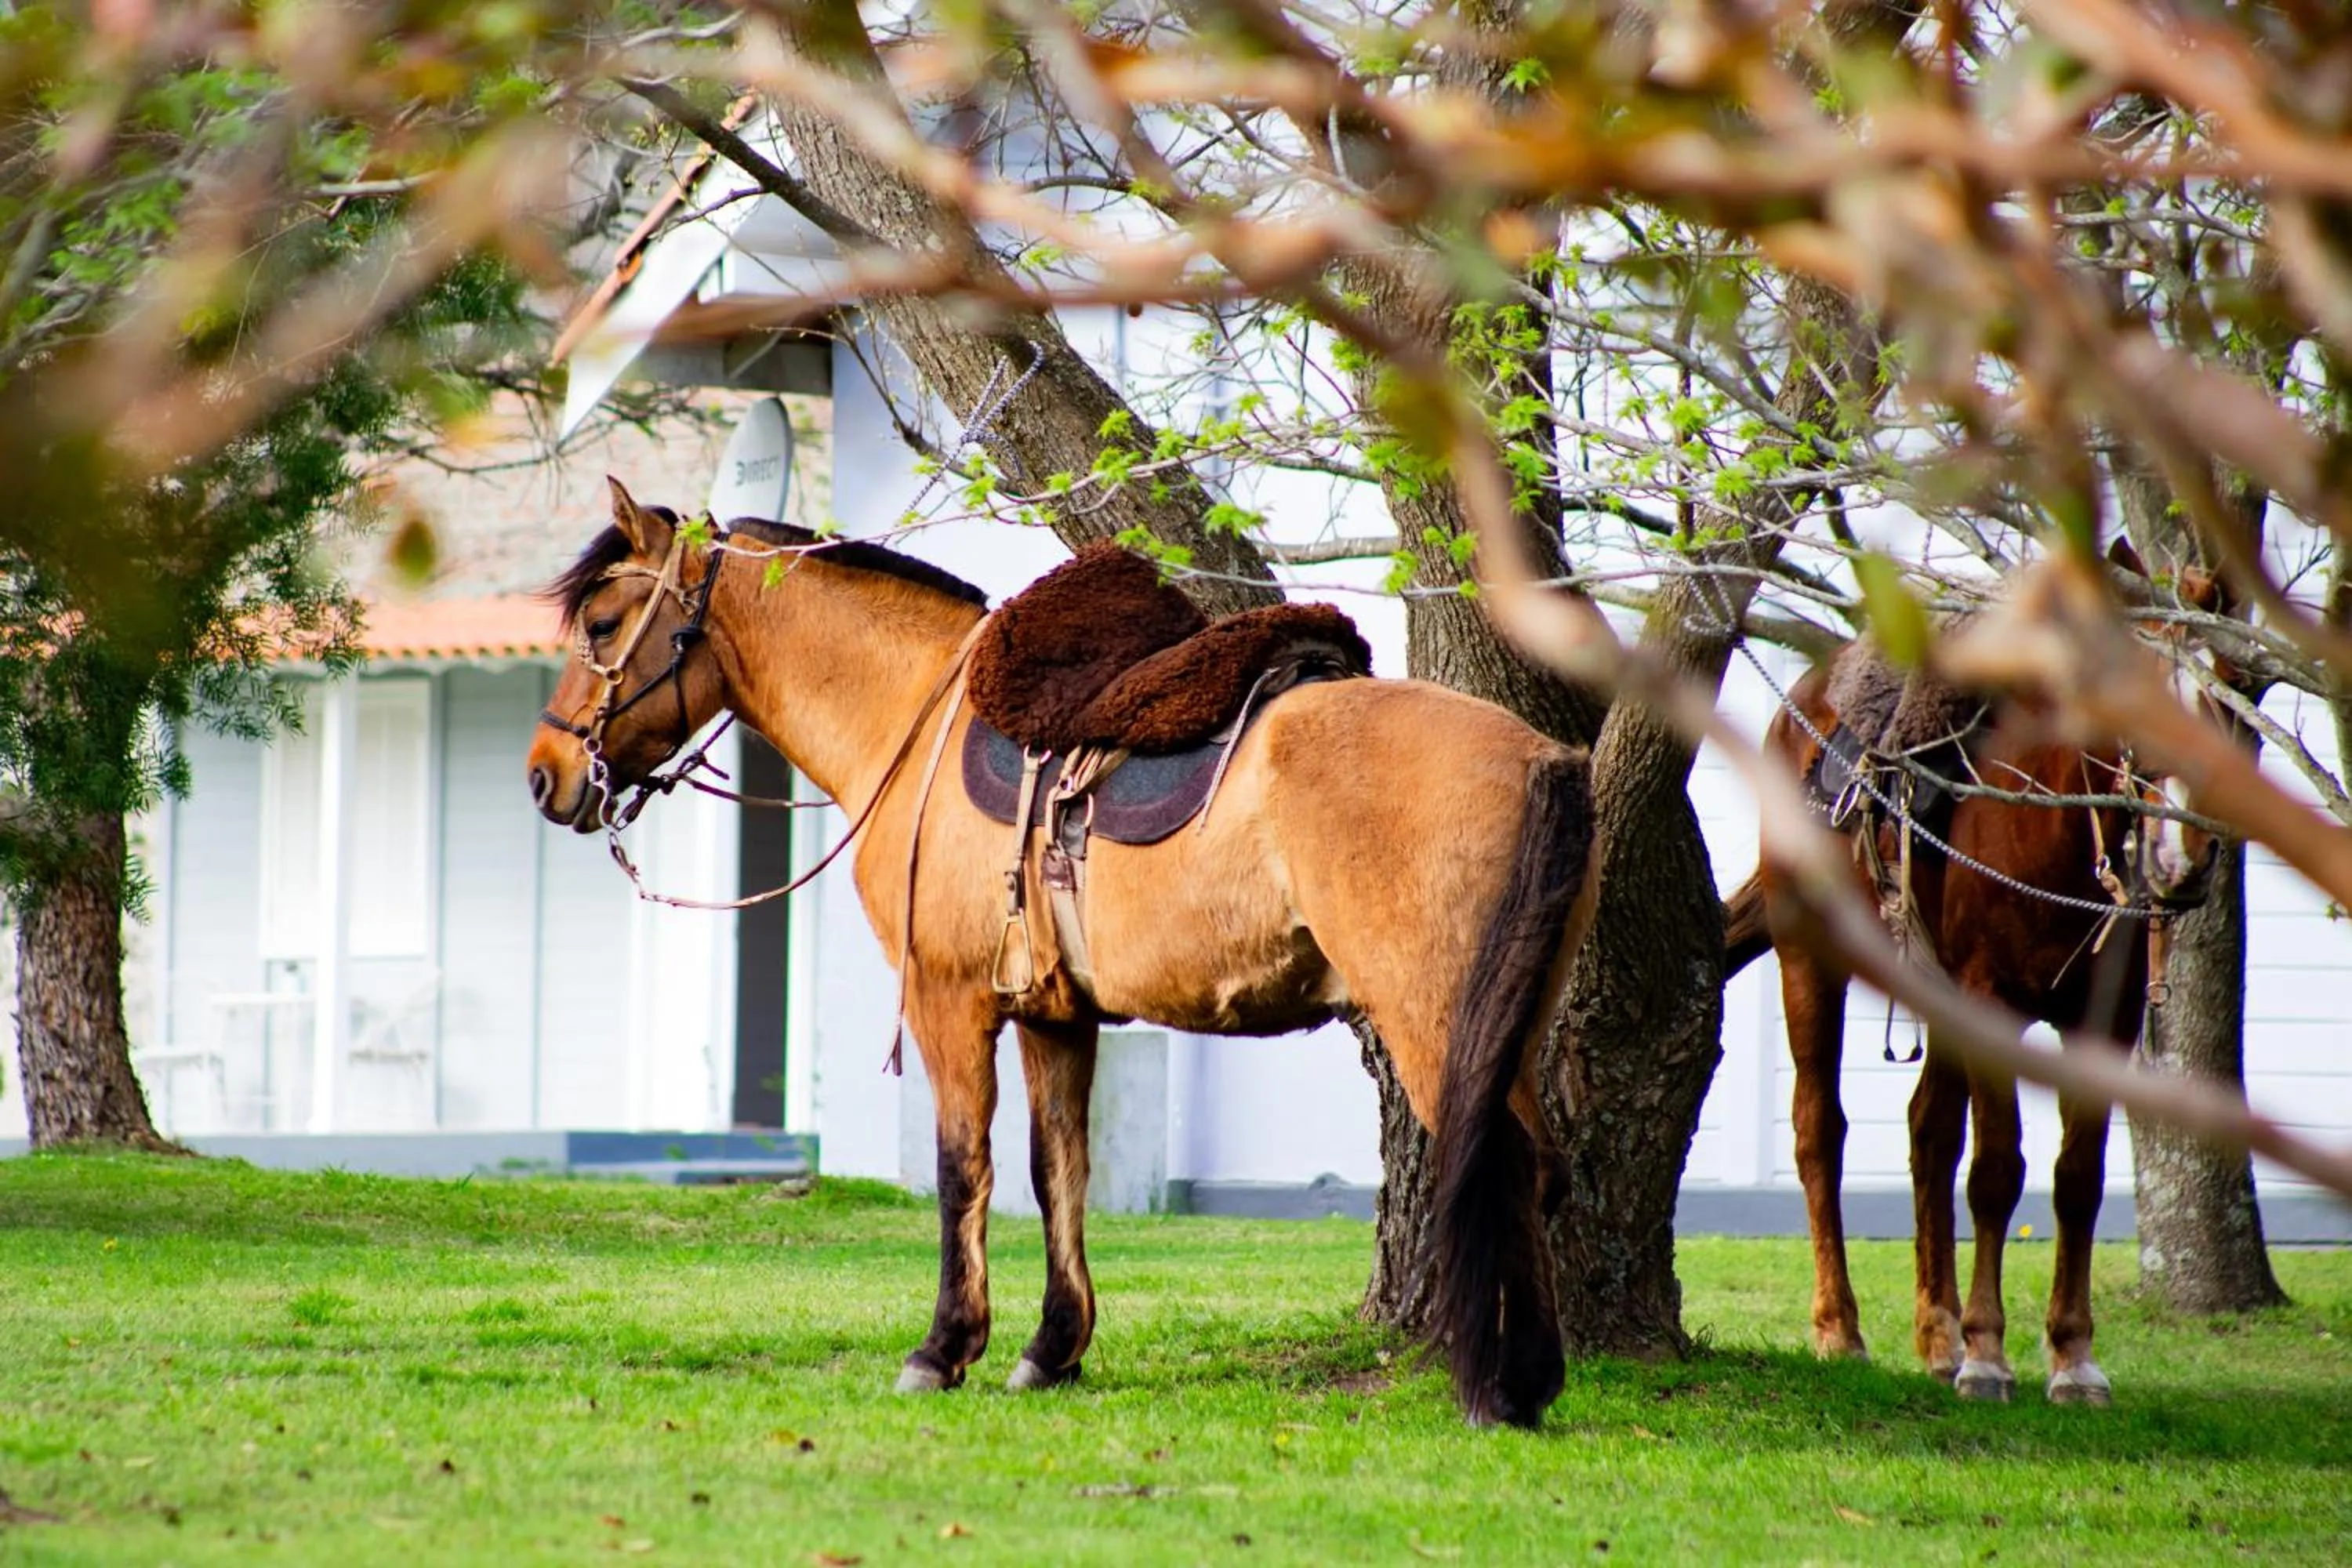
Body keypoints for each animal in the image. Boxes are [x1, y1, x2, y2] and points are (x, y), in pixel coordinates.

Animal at [524, 481, 1601, 1428]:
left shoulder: (949, 1001)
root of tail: (1543, 759)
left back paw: (1500, 1388)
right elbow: (1058, 1171)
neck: (913, 712)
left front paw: (945, 1346)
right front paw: (1052, 1347)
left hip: (1434, 1022)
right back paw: (1536, 1380)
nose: (546, 774)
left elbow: (965, 1167)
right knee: (1540, 1166)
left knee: (1499, 1164)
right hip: (1507, 1023)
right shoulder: (1055, 1014)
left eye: (605, 624)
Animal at [1722, 639, 2217, 1406]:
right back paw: (1840, 1330)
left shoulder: (2102, 1028)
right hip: (1809, 958)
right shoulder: (1991, 1007)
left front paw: (2073, 1358)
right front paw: (1988, 1355)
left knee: (1928, 1133)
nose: (2183, 858)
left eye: (2229, 705)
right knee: (1817, 1131)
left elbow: (2077, 1179)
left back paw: (1938, 1337)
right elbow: (1995, 1173)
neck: (2048, 826)